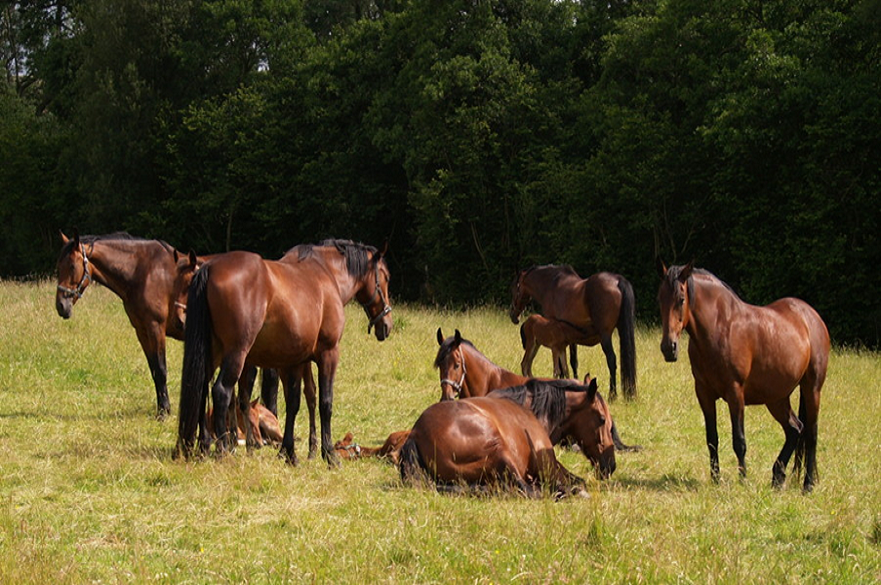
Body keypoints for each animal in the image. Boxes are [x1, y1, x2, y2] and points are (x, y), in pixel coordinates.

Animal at [55, 230, 200, 418]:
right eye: (58, 267)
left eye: (72, 266)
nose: (61, 306)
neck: (145, 272)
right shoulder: (142, 331)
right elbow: (154, 370)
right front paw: (161, 408)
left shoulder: (156, 328)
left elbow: (161, 369)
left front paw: (164, 412)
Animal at [175, 238, 392, 466]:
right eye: (386, 277)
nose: (386, 323)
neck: (327, 274)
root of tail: (210, 267)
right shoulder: (328, 353)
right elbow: (325, 403)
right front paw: (329, 454)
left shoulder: (294, 362)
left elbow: (293, 403)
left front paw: (290, 453)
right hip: (236, 354)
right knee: (221, 392)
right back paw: (223, 449)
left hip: (212, 354)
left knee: (201, 390)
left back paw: (201, 446)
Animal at [398, 374, 612, 498]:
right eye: (602, 419)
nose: (611, 465)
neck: (531, 411)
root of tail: (416, 433)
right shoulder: (549, 467)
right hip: (499, 452)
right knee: (526, 490)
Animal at [506, 266, 636, 400]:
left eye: (514, 288)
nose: (513, 316)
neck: (551, 286)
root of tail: (617, 281)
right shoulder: (569, 338)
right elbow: (573, 363)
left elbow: (561, 364)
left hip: (605, 336)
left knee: (611, 360)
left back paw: (612, 395)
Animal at [652, 258, 832, 490]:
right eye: (660, 299)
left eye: (681, 299)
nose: (669, 348)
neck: (721, 327)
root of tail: (811, 317)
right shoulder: (704, 393)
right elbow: (712, 438)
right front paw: (715, 479)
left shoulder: (735, 392)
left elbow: (739, 441)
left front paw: (742, 480)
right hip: (776, 398)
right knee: (795, 428)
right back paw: (777, 477)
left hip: (812, 388)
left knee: (811, 434)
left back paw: (808, 484)